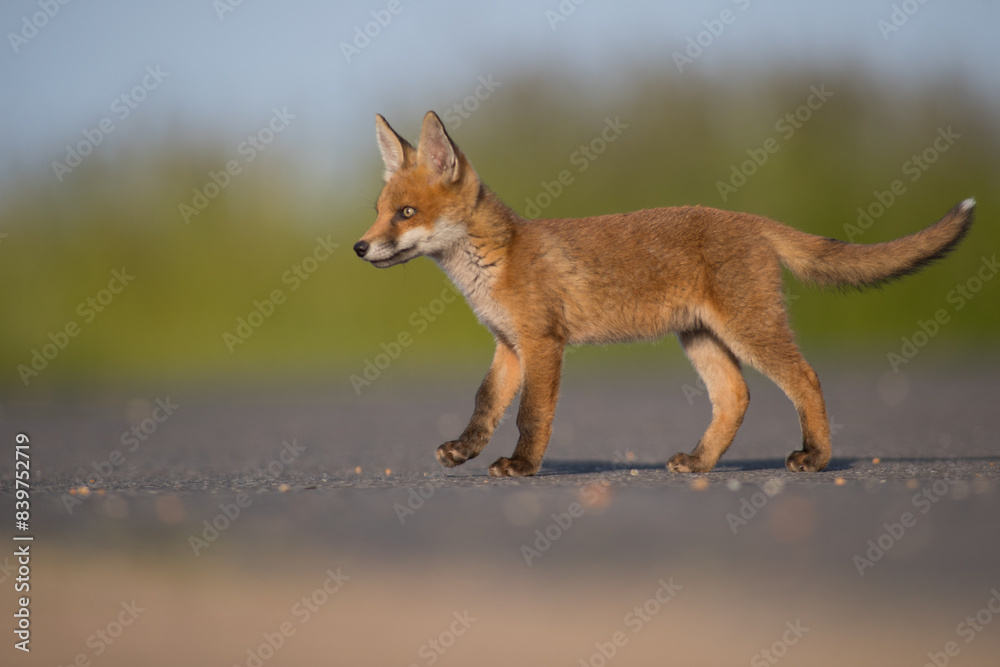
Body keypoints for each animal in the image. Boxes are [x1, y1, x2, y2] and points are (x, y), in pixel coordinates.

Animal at [353, 110, 975, 477]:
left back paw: (815, 457)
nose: (359, 247)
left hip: (749, 330)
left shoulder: (543, 343)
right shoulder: (509, 346)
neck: (491, 264)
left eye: (406, 213)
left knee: (806, 378)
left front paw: (523, 465)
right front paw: (464, 450)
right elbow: (484, 405)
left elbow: (532, 415)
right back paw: (700, 462)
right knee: (735, 397)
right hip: (700, 337)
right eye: (380, 211)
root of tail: (750, 219)